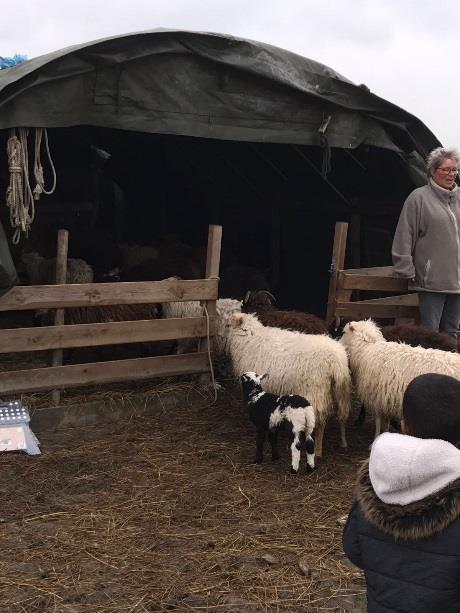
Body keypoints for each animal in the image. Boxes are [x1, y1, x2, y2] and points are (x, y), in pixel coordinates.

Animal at [221, 314, 350, 456]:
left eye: (228, 325)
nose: (220, 336)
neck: (249, 338)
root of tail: (336, 361)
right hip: (341, 391)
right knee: (342, 416)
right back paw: (343, 442)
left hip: (316, 392)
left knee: (320, 422)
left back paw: (317, 450)